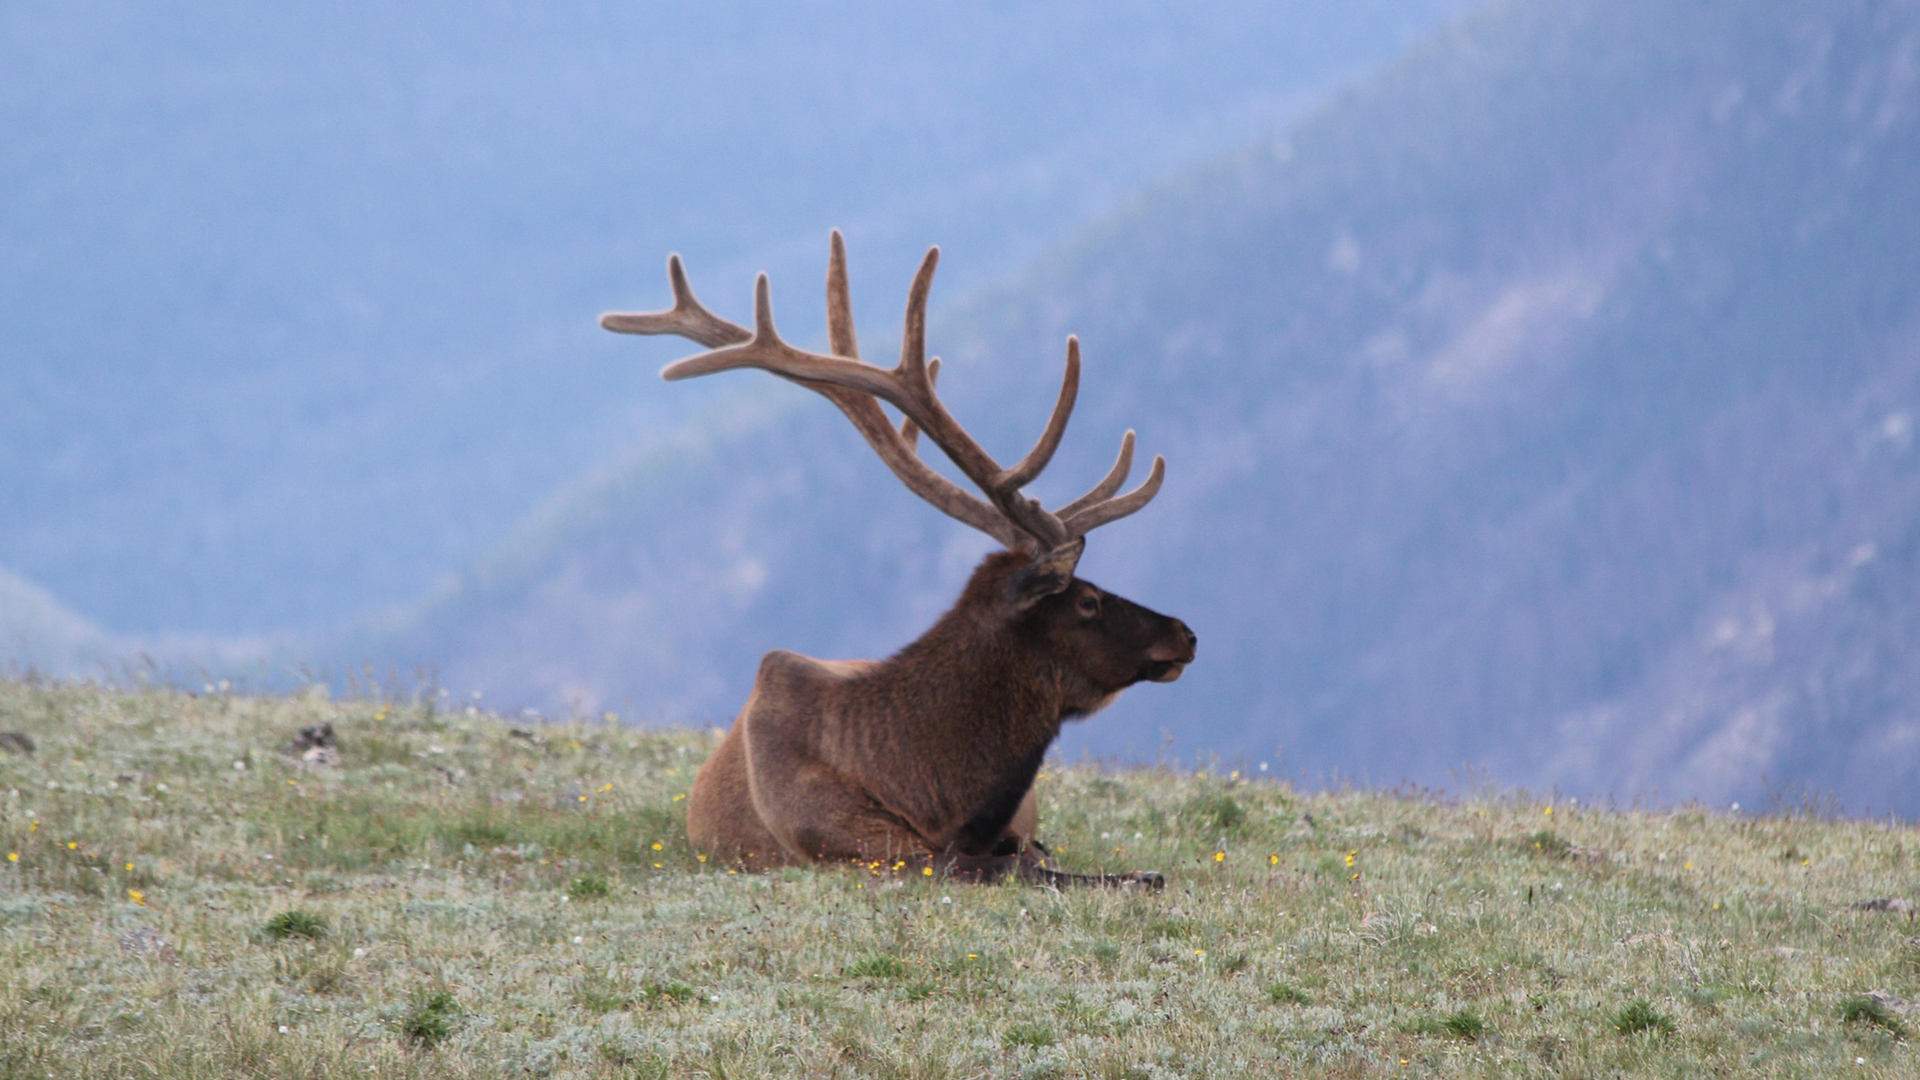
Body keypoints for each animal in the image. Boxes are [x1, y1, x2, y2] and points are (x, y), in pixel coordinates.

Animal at [600, 231, 1196, 887]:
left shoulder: (1010, 829)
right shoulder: (864, 847)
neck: (932, 795)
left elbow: (1037, 858)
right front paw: (1138, 876)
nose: (1186, 632)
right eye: (1087, 599)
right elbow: (1005, 869)